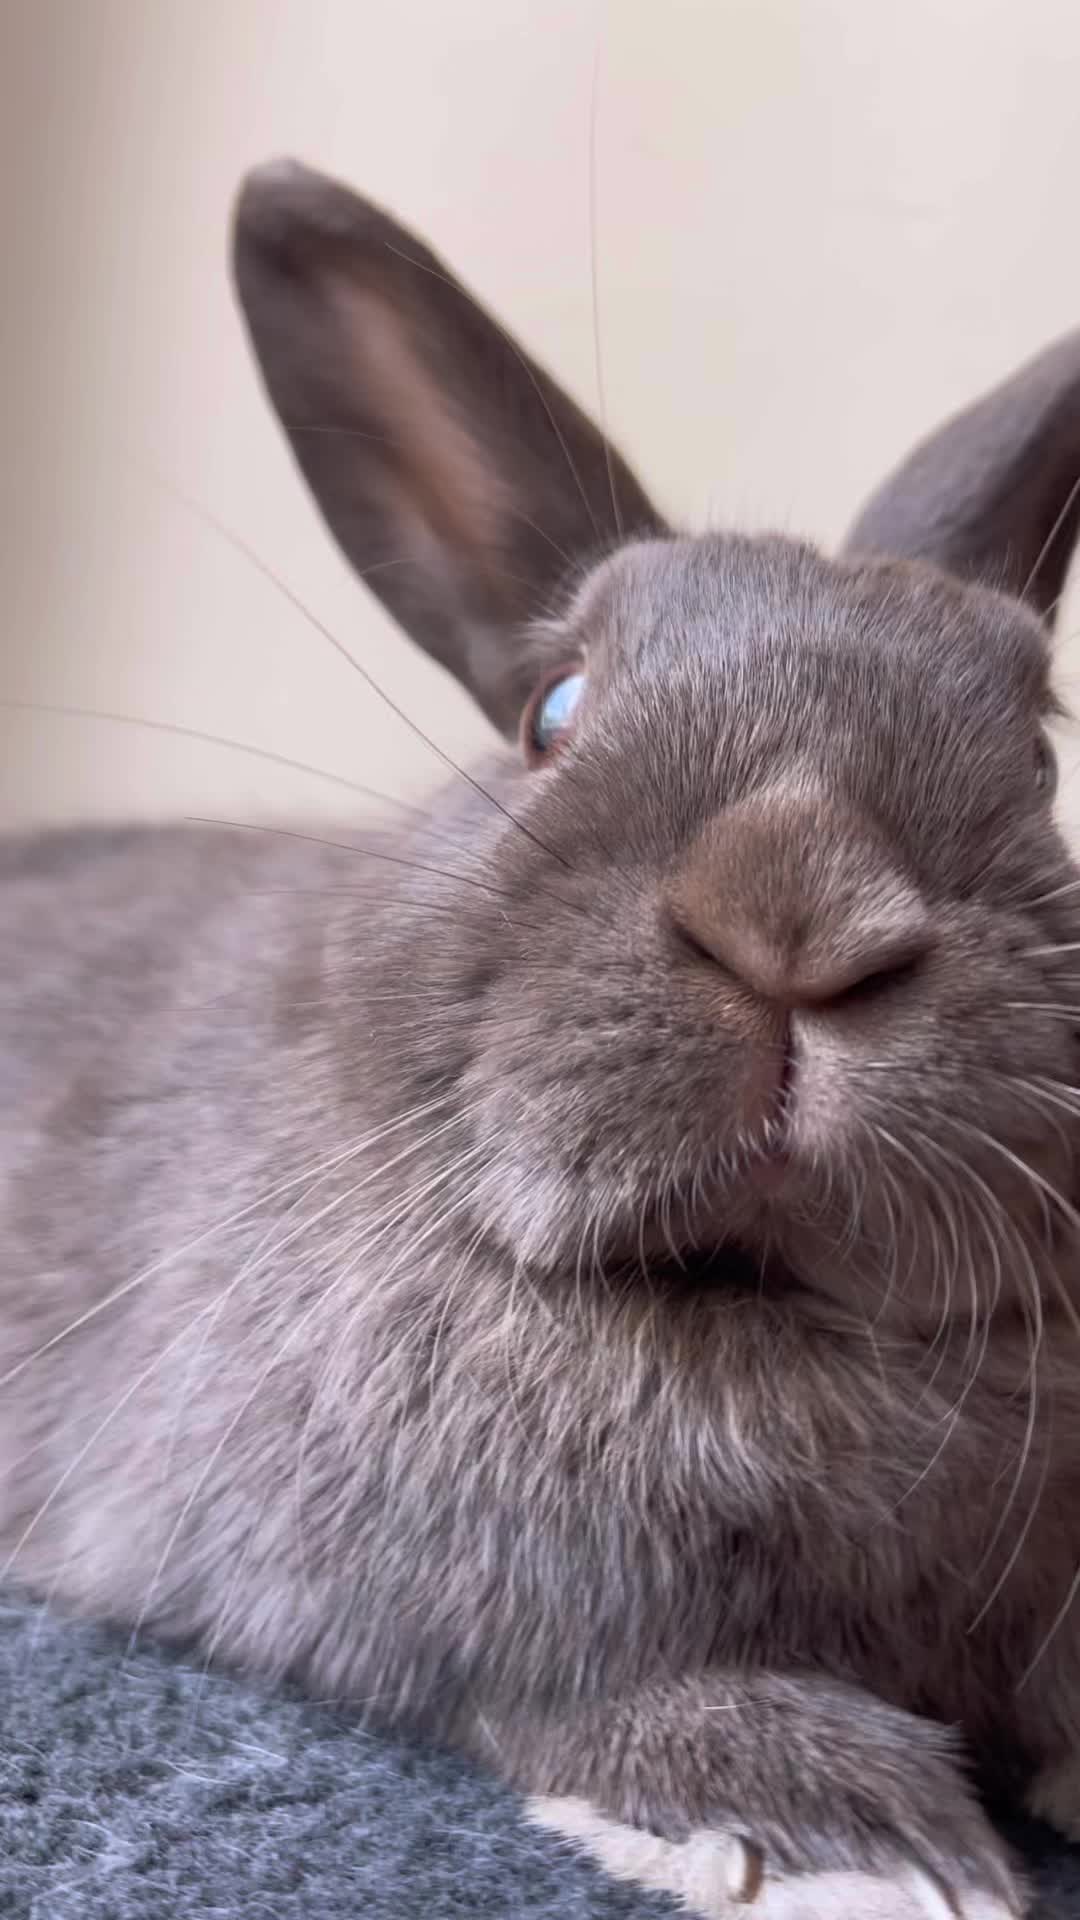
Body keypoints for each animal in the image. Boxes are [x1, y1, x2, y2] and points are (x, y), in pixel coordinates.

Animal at [2, 155, 1080, 1920]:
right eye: (551, 717)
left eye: (1042, 753)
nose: (800, 911)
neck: (750, 1302)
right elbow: (589, 1693)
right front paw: (858, 1838)